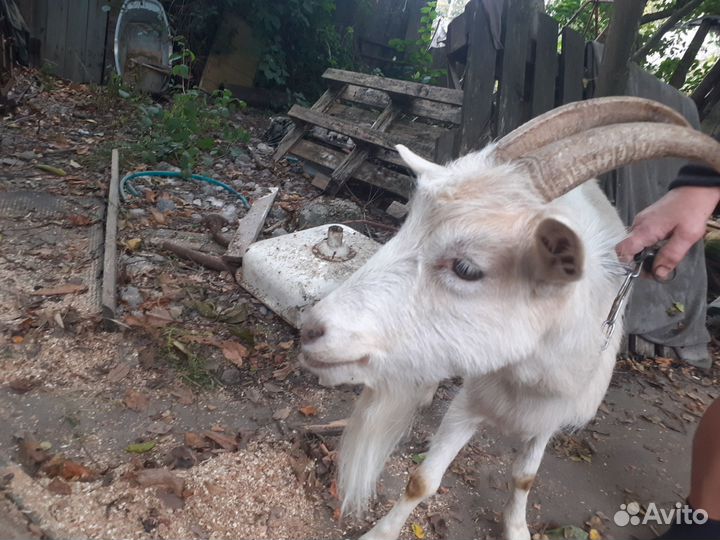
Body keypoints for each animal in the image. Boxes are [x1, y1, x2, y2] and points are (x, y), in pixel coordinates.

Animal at [299, 97, 720, 540]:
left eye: (467, 268)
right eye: (405, 228)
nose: (311, 330)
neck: (523, 377)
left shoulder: (549, 419)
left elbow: (524, 478)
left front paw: (517, 528)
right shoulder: (468, 403)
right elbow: (423, 480)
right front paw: (381, 533)